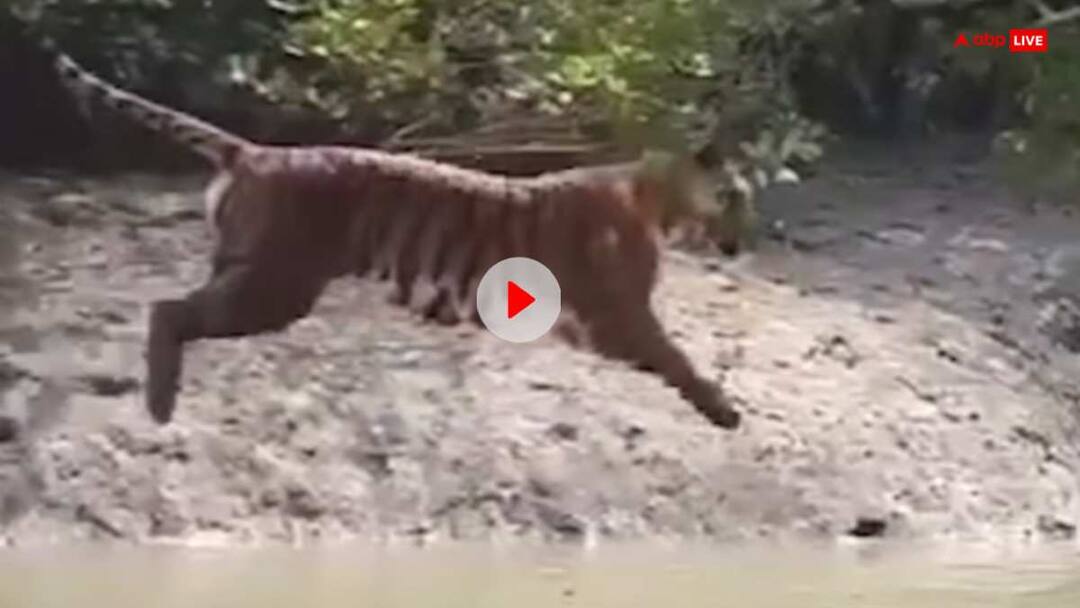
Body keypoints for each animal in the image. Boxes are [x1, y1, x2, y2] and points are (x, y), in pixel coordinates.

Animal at [49, 48, 743, 431]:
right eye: (736, 196)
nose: (740, 240)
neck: (657, 200)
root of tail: (256, 152)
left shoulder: (592, 324)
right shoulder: (620, 312)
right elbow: (677, 356)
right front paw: (725, 410)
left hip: (251, 273)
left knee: (176, 307)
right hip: (274, 286)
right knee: (168, 310)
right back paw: (159, 405)